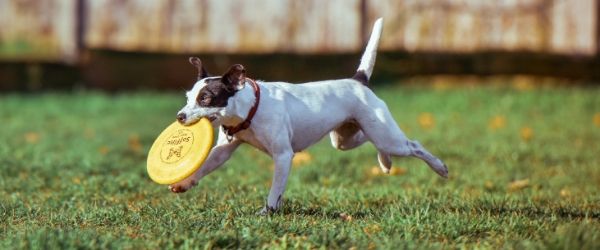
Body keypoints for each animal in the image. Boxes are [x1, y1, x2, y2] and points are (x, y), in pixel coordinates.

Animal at [169, 18, 446, 214]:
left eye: (205, 98)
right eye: (188, 97)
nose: (180, 116)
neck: (250, 109)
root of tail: (358, 81)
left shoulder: (283, 156)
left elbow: (275, 189)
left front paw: (268, 211)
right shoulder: (223, 150)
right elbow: (205, 166)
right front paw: (185, 183)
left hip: (388, 137)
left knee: (413, 145)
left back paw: (439, 167)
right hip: (345, 139)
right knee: (370, 141)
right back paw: (385, 162)